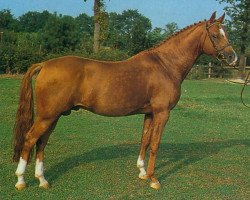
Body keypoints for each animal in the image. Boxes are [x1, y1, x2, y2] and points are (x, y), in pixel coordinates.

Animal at [13, 11, 236, 190]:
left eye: (226, 32)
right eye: (215, 35)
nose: (232, 57)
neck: (165, 65)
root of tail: (44, 64)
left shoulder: (149, 113)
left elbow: (145, 140)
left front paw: (142, 172)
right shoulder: (162, 113)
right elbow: (155, 144)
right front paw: (153, 179)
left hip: (54, 116)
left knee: (42, 142)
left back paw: (42, 180)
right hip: (47, 116)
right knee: (30, 139)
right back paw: (21, 180)